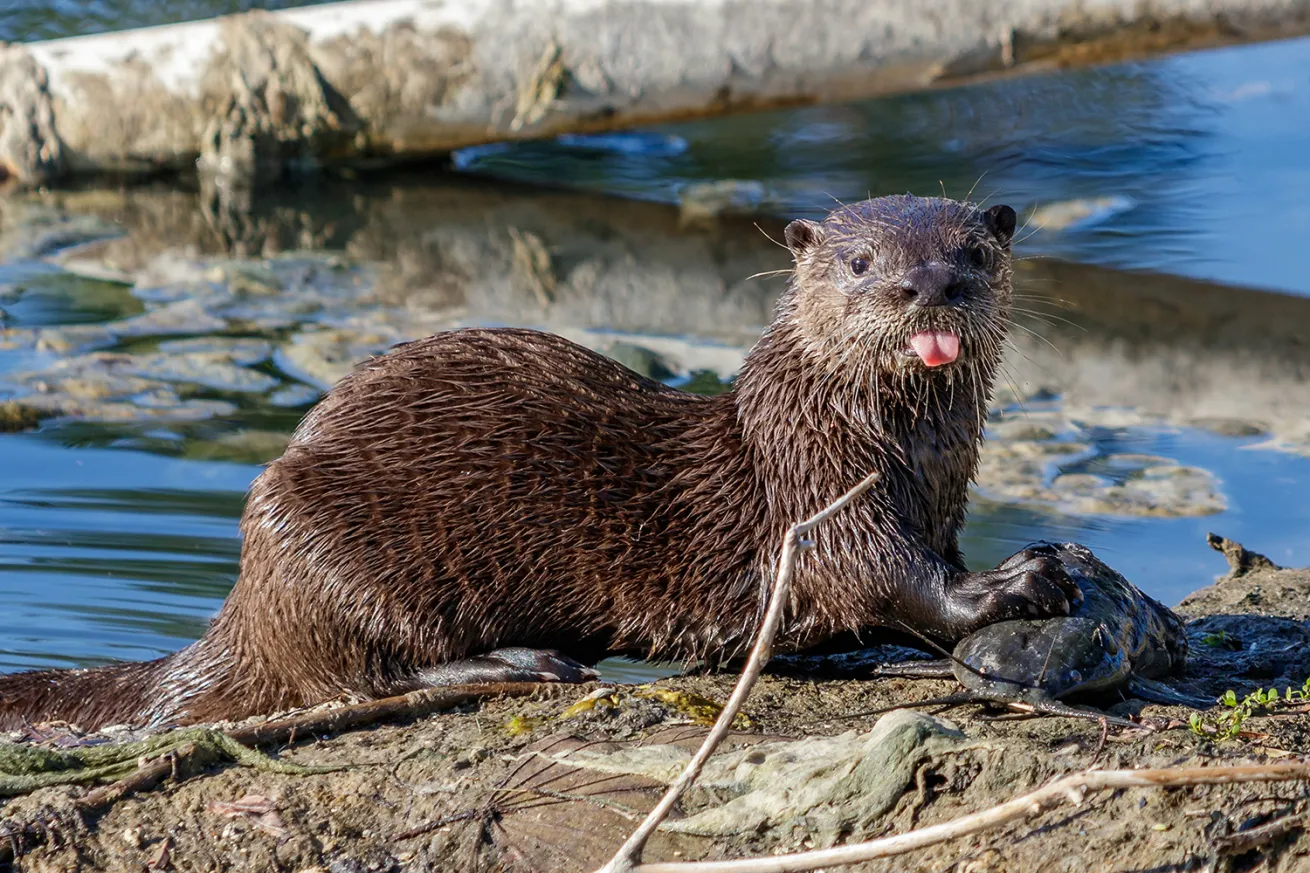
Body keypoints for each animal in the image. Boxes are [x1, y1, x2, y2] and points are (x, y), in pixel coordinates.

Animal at [0, 195, 1080, 731]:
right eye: (859, 264)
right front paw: (1016, 581)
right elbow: (889, 578)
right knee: (358, 677)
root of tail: (246, 600)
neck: (896, 454)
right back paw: (528, 659)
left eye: (971, 252)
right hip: (327, 540)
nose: (924, 284)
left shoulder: (934, 498)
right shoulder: (820, 493)